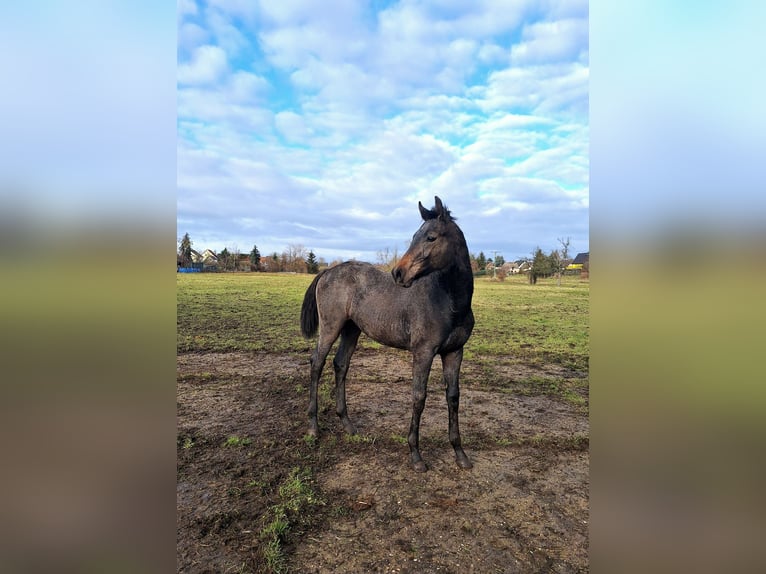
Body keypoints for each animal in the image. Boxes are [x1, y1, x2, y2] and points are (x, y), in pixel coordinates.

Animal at [300, 198, 474, 472]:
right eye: (414, 236)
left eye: (431, 237)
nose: (398, 273)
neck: (451, 303)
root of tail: (328, 271)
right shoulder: (423, 352)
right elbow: (419, 397)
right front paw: (416, 455)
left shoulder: (455, 352)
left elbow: (453, 397)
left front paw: (460, 454)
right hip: (331, 327)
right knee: (317, 363)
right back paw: (313, 427)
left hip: (351, 329)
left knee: (340, 364)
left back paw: (348, 424)